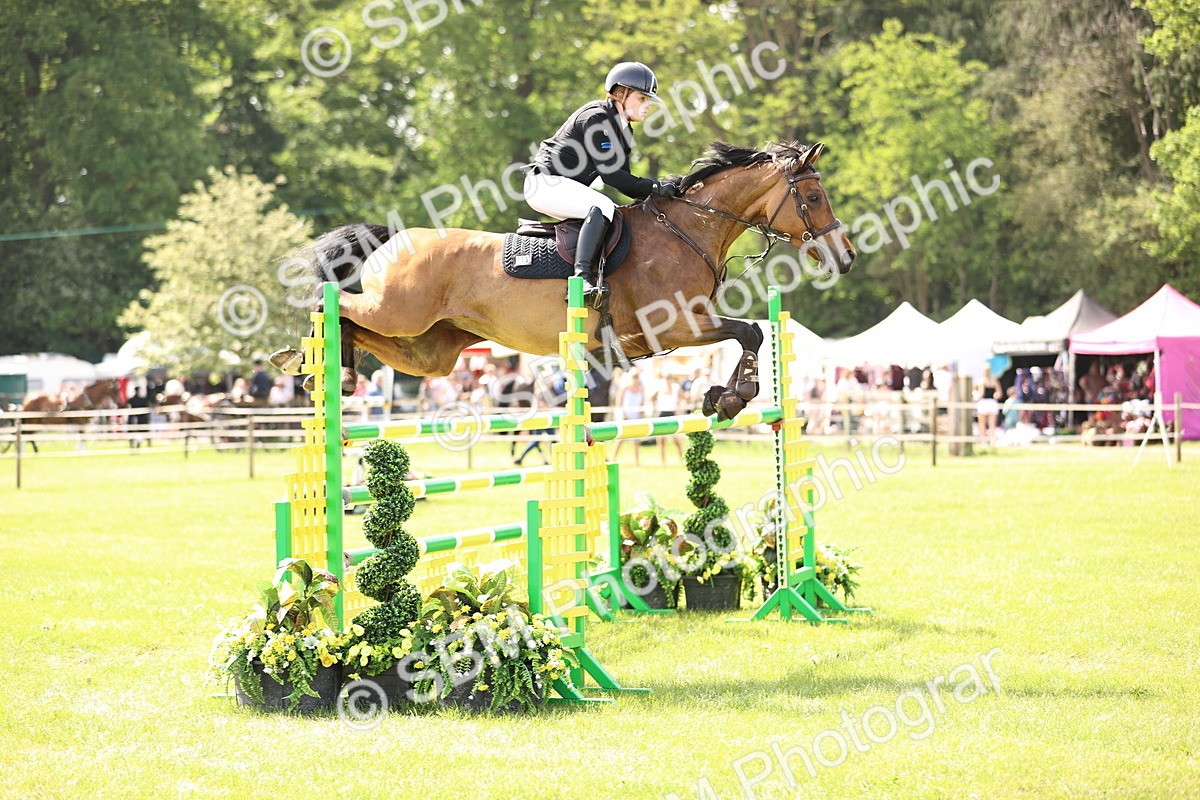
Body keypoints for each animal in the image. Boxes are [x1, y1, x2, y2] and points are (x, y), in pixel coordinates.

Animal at [271, 140, 855, 421]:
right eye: (813, 196)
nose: (845, 256)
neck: (686, 230)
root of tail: (394, 239)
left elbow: (749, 333)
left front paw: (722, 396)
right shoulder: (673, 328)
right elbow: (750, 331)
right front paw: (735, 396)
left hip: (431, 349)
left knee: (365, 331)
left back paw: (337, 373)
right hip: (400, 311)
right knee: (334, 302)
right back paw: (304, 360)